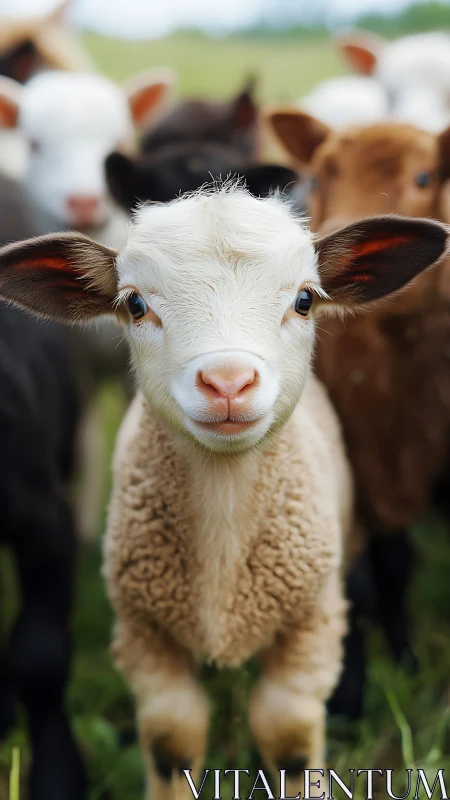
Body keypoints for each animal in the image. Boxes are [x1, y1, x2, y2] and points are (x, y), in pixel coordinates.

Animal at [0, 183, 447, 796]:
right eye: (134, 305)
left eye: (304, 300)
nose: (228, 382)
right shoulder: (144, 633)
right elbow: (171, 739)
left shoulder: (310, 625)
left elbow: (287, 737)